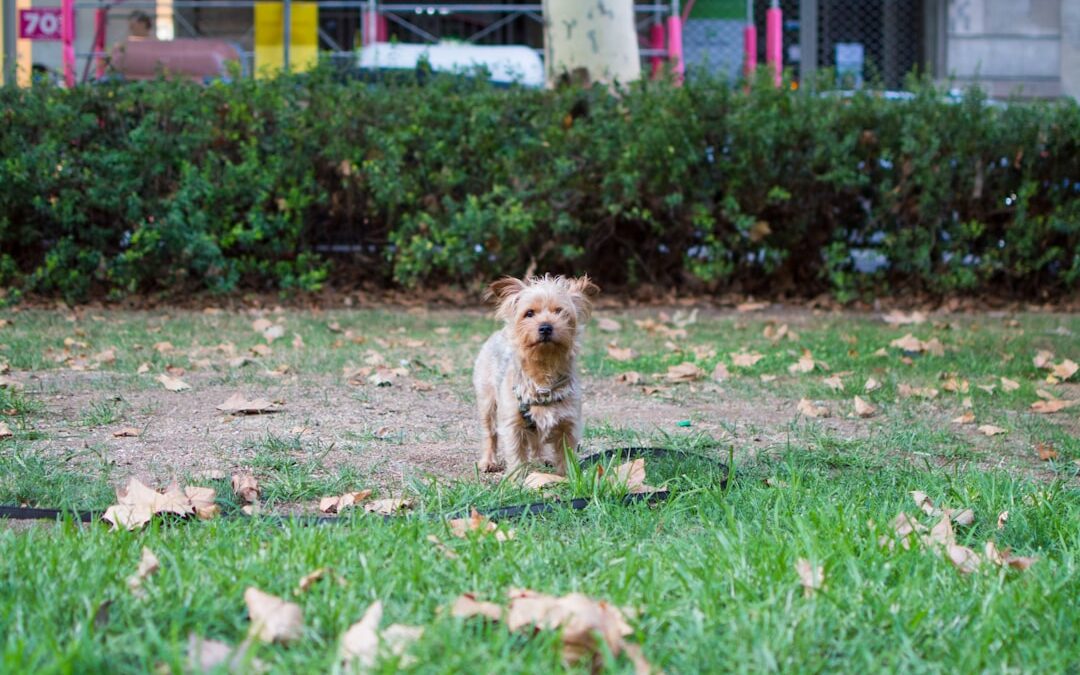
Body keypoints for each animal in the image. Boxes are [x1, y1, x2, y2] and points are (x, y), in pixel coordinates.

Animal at [473, 274, 600, 473]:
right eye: (529, 313)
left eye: (560, 312)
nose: (546, 327)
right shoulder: (513, 425)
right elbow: (516, 456)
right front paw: (516, 479)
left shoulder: (569, 425)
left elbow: (566, 457)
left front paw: (567, 478)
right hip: (487, 401)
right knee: (490, 433)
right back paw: (488, 461)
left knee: (536, 442)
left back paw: (541, 459)